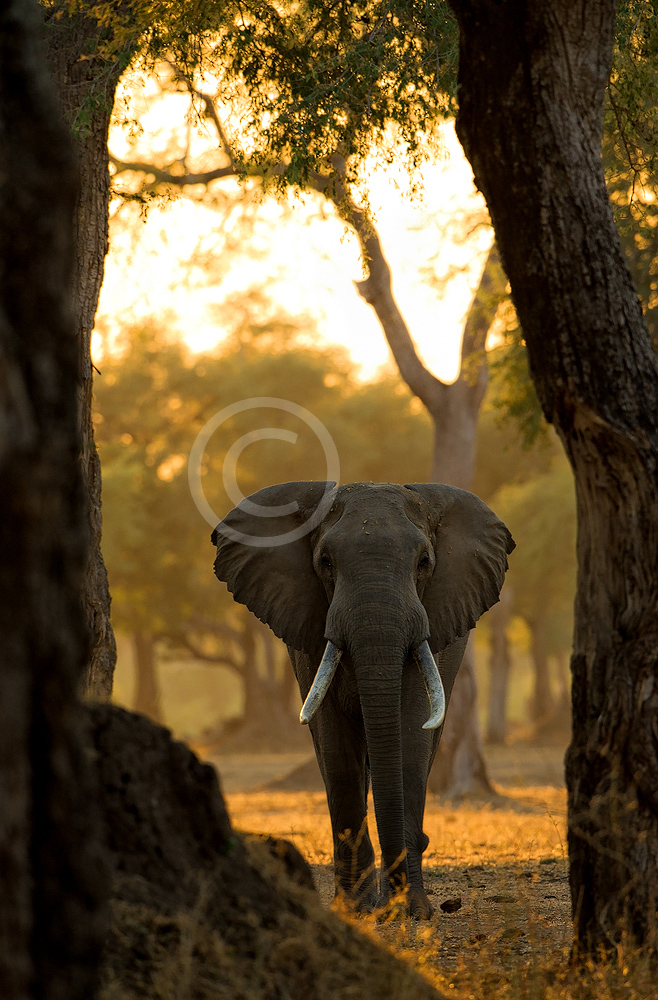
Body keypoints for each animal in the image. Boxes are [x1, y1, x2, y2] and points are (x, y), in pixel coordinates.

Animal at [211, 480, 514, 918]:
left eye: (424, 562)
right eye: (324, 562)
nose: (397, 903)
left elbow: (410, 731)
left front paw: (413, 911)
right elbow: (335, 743)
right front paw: (354, 910)